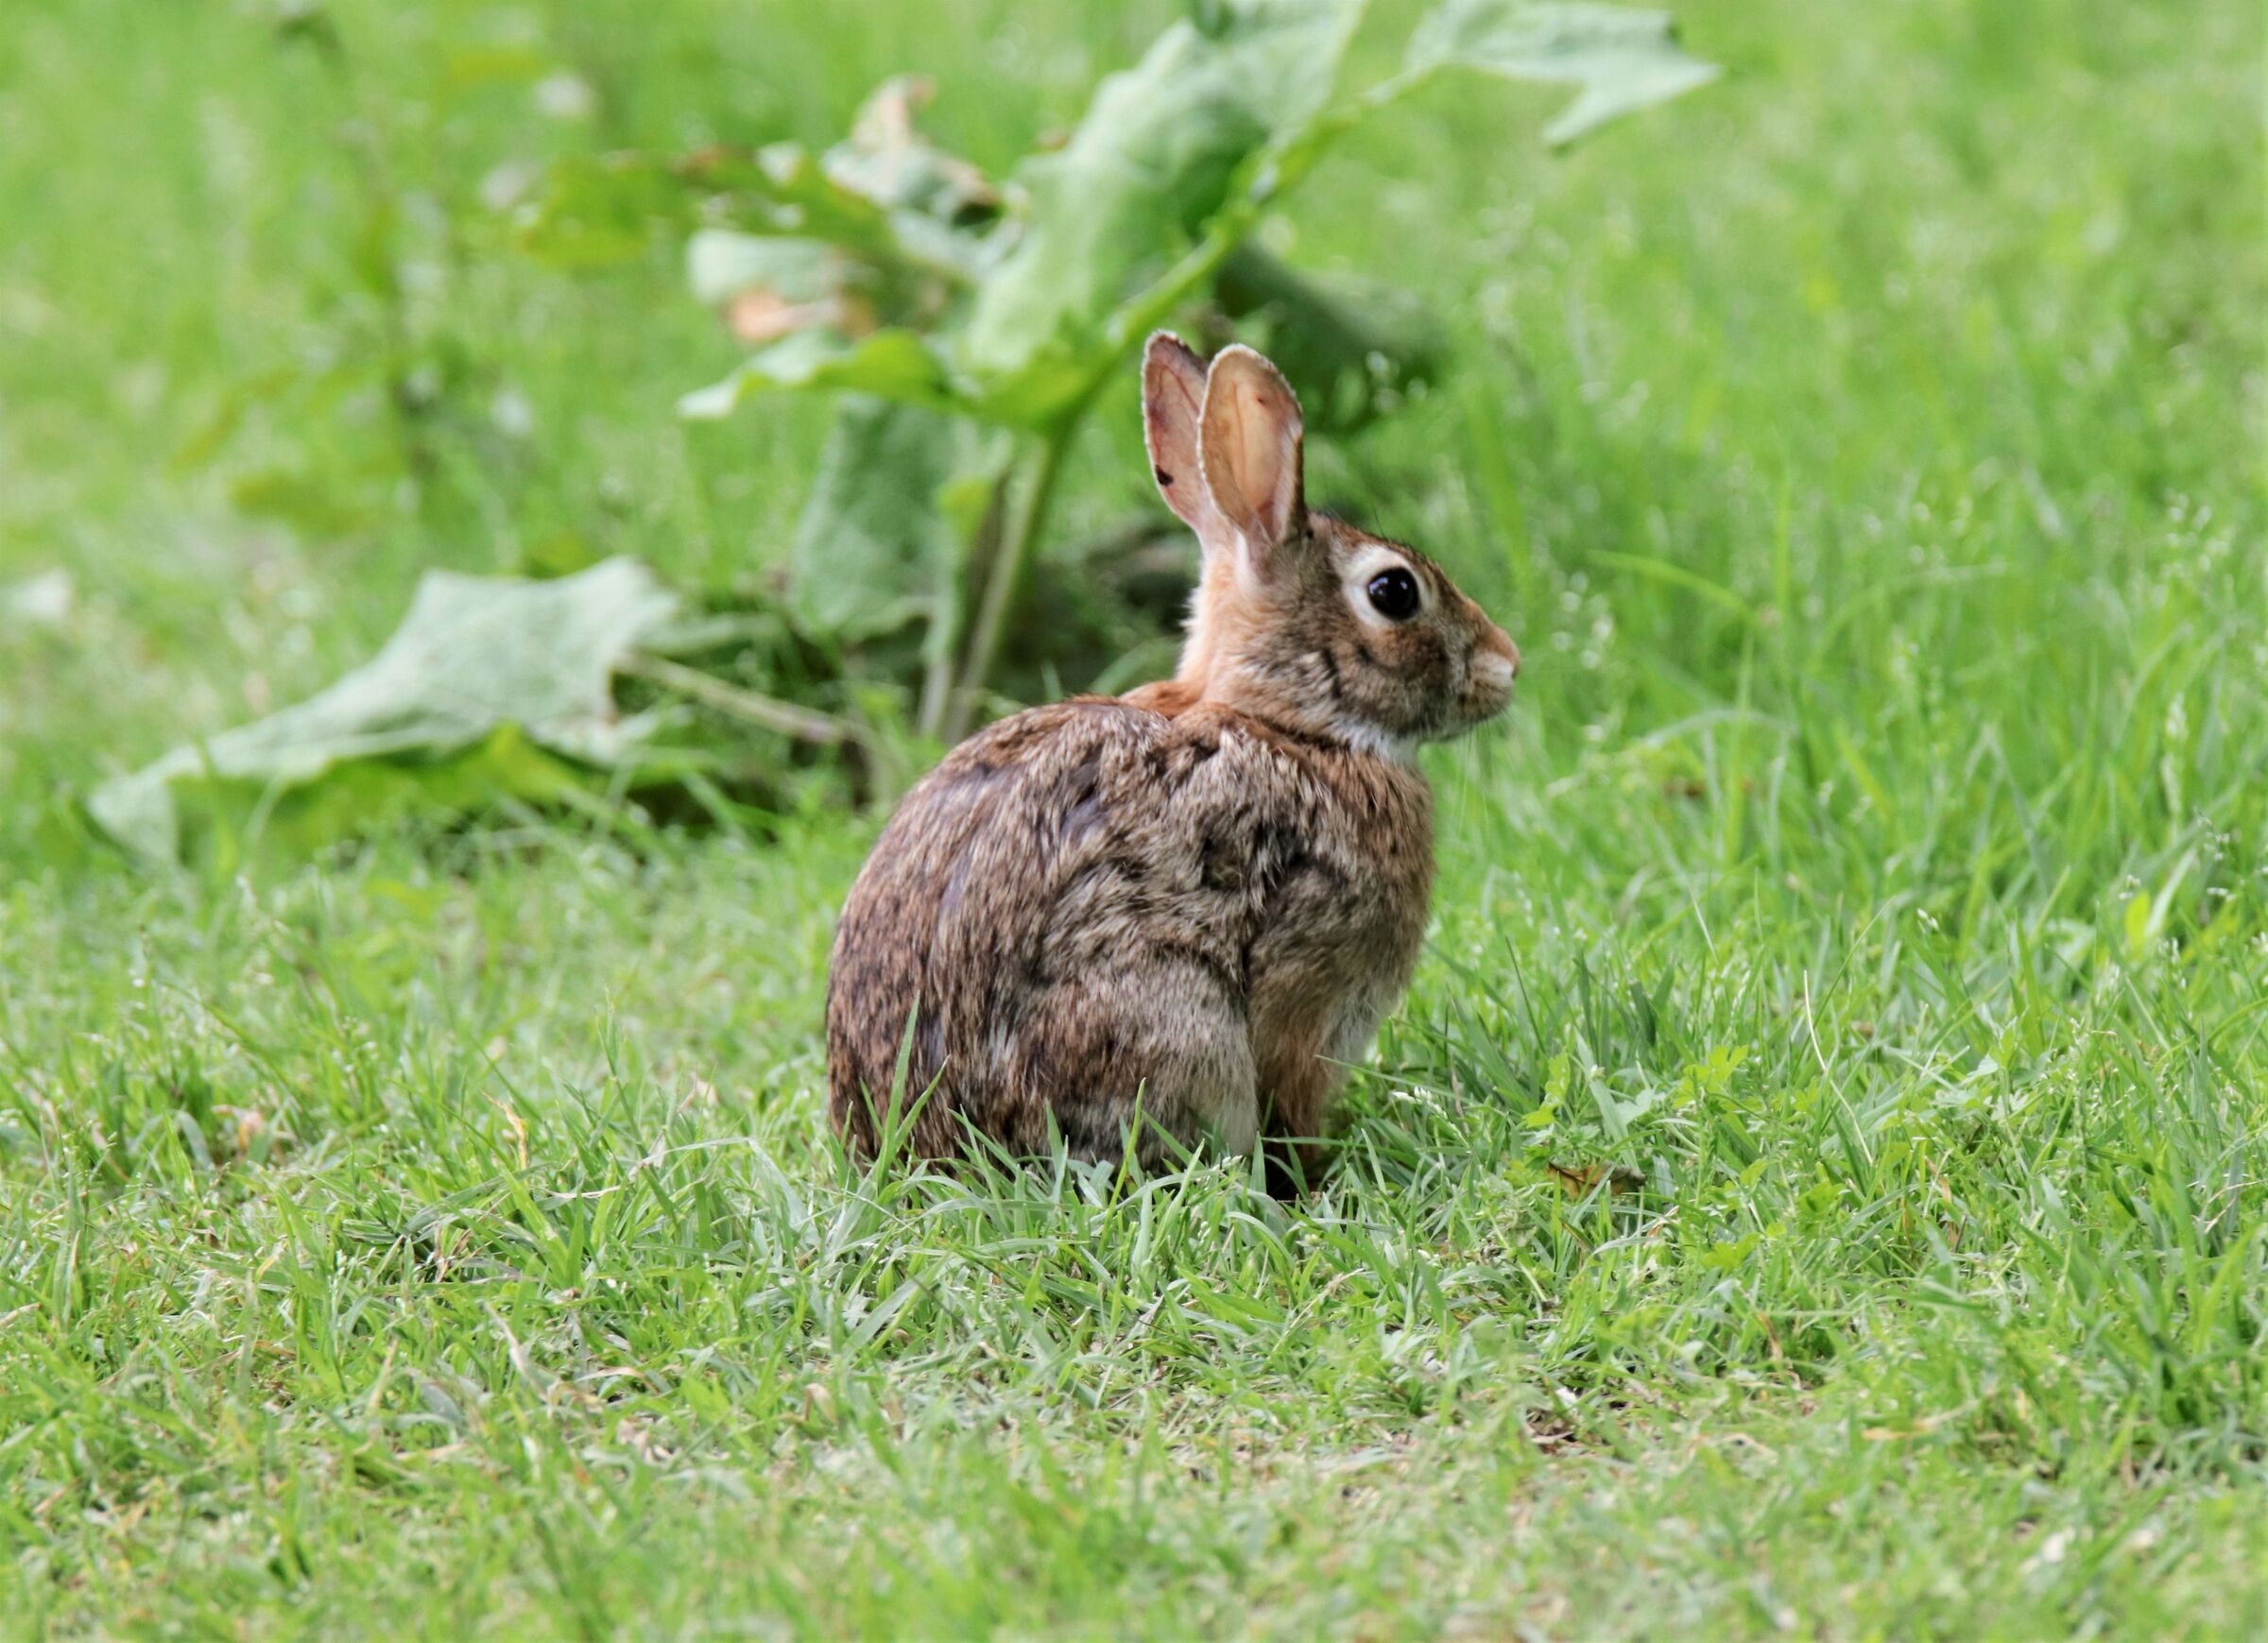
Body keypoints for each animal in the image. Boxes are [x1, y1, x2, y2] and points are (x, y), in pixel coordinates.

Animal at [825, 333, 1519, 1191]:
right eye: (1393, 591)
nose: (1506, 666)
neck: (1291, 726)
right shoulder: (1304, 992)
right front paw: (1313, 1177)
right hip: (1169, 1027)